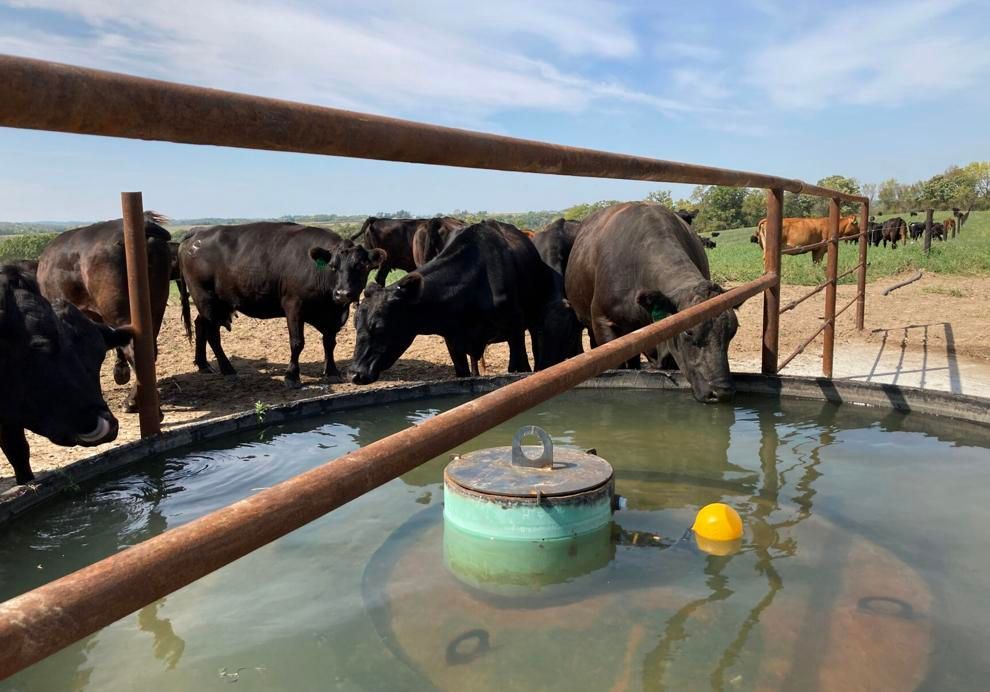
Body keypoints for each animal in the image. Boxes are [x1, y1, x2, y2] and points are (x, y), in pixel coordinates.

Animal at [177, 222, 384, 388]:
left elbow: (329, 342)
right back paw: (228, 370)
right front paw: (292, 376)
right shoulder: (294, 307)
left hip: (217, 303)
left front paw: (332, 372)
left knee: (200, 325)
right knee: (213, 334)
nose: (342, 293)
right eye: (333, 266)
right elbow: (297, 342)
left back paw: (203, 365)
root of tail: (197, 232)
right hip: (206, 299)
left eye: (361, 266)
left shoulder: (333, 314)